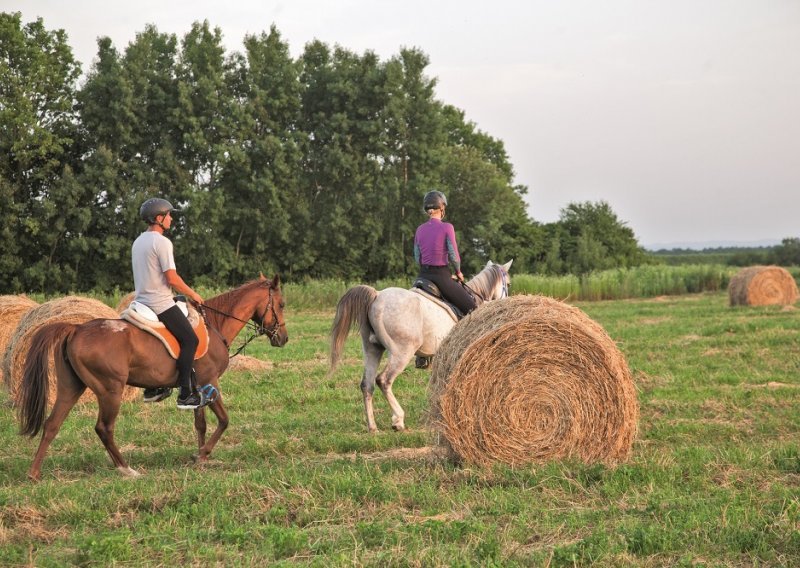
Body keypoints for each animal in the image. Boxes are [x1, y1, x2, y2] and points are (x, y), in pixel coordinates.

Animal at [17, 274, 288, 480]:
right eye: (282, 304)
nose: (283, 338)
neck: (215, 324)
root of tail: (76, 329)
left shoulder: (198, 389)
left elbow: (200, 423)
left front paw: (199, 457)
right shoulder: (210, 381)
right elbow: (223, 420)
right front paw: (203, 454)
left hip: (71, 387)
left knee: (52, 424)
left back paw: (34, 473)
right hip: (110, 390)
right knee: (104, 428)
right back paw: (126, 469)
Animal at [330, 260, 512, 430]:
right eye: (508, 284)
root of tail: (377, 296)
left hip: (372, 350)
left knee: (367, 385)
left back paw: (372, 427)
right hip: (401, 353)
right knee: (384, 380)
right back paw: (398, 419)